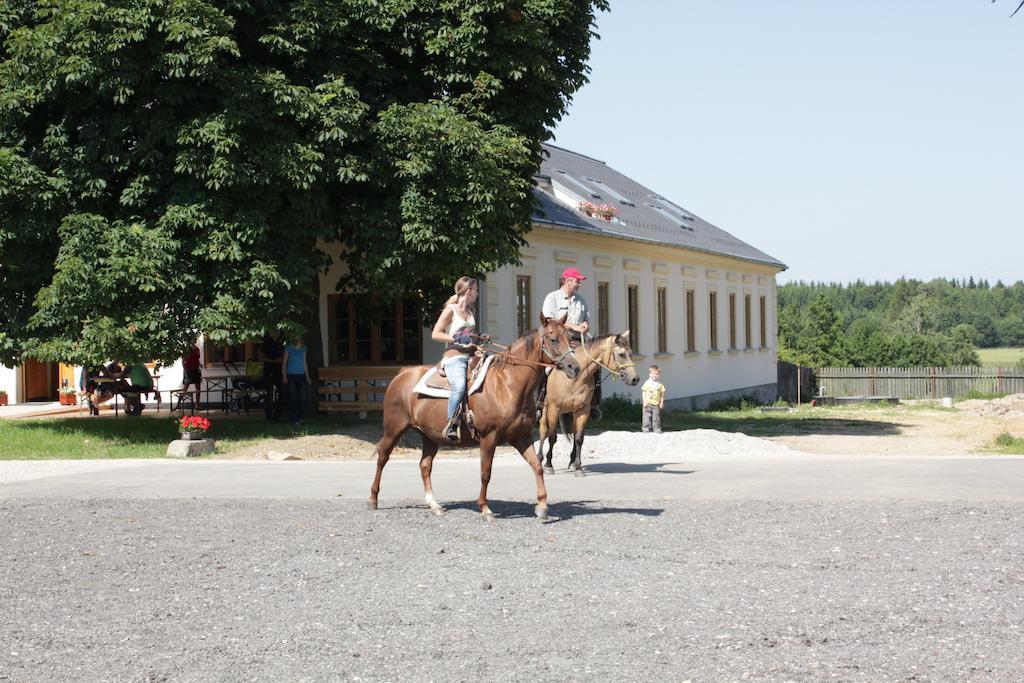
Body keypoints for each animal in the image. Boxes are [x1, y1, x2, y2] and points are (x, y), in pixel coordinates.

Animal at [368, 317, 581, 524]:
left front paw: (542, 507)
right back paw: (373, 499)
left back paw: (434, 505)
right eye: (553, 339)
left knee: (425, 465)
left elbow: (537, 466)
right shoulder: (489, 438)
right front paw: (485, 509)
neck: (507, 385)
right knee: (383, 458)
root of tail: (402, 373)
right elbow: (485, 473)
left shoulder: (521, 437)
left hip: (430, 436)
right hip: (394, 429)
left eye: (570, 338)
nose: (575, 367)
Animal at [540, 333, 634, 479]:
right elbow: (552, 436)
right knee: (543, 430)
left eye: (630, 353)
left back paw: (573, 462)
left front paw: (578, 468)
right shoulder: (554, 408)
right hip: (546, 409)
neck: (574, 378)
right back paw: (539, 457)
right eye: (621, 354)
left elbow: (579, 438)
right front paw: (548, 465)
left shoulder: (582, 410)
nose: (635, 379)